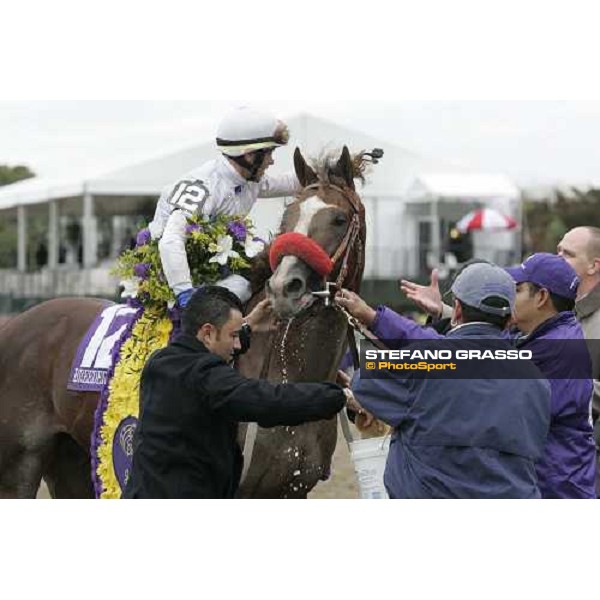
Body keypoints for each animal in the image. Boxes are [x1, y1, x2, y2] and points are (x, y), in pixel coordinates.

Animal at [0, 148, 370, 500]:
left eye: (339, 219)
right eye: (288, 216)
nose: (283, 287)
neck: (288, 375)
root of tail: (15, 324)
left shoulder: (290, 490)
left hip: (69, 462)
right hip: (19, 471)